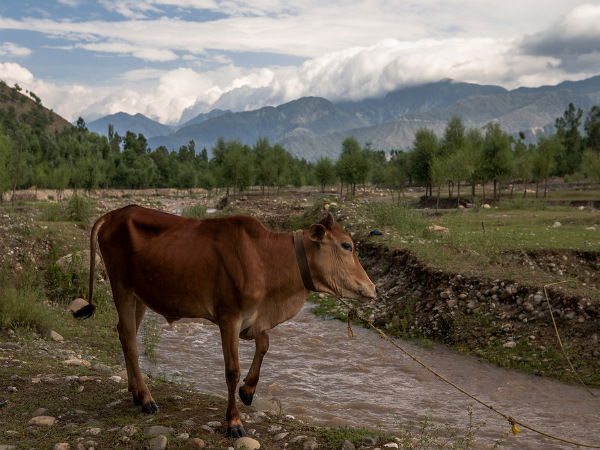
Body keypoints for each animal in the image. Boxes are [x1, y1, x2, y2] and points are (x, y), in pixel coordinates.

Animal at [74, 206, 376, 438]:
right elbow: (232, 370)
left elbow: (264, 345)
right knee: (130, 340)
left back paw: (135, 392)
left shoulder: (255, 317)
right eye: (346, 245)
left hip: (140, 296)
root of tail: (114, 214)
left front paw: (248, 390)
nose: (372, 288)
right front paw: (234, 421)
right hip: (122, 287)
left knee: (126, 335)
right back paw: (147, 399)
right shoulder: (229, 317)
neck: (267, 259)